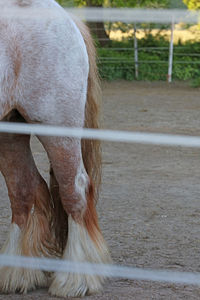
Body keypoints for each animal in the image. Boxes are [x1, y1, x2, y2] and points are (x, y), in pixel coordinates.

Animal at [0, 0, 111, 296]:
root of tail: (64, 16)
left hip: (57, 128)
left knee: (75, 190)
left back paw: (76, 279)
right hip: (9, 129)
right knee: (23, 192)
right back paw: (16, 274)